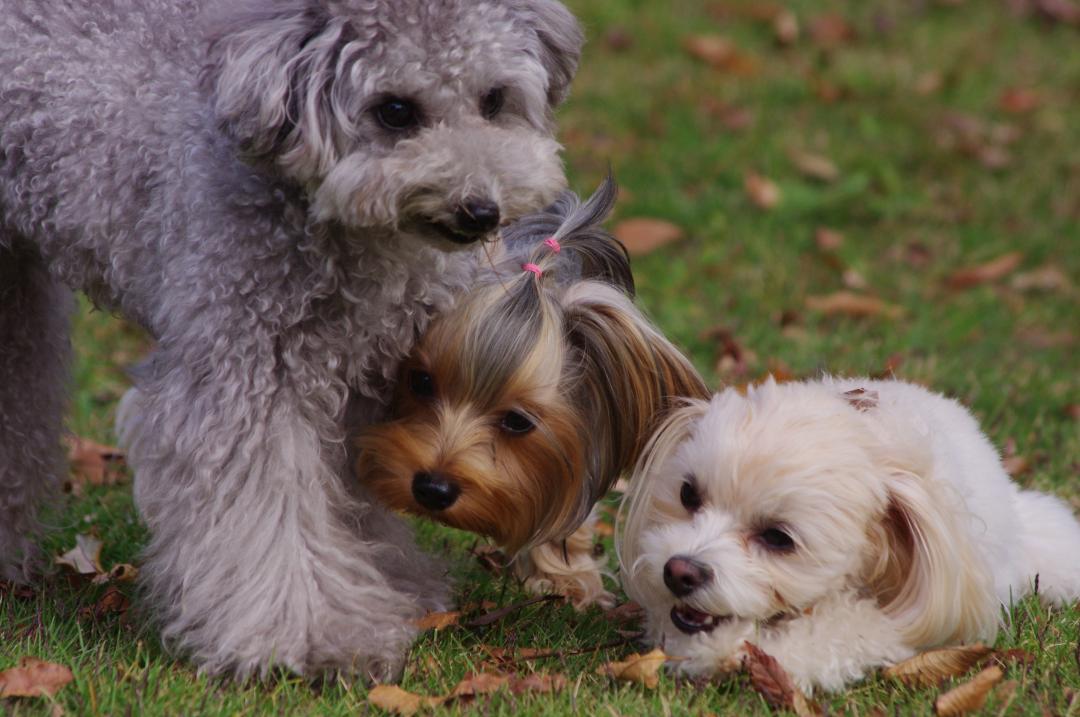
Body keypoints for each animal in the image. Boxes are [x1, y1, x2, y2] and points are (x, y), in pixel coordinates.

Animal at [0, 0, 583, 678]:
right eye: (394, 111)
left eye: (494, 99)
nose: (480, 209)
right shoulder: (244, 371)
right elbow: (269, 510)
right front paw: (309, 636)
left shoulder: (369, 378)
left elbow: (352, 500)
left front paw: (392, 587)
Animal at [617, 377, 1080, 691]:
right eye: (688, 494)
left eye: (778, 537)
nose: (679, 572)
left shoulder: (893, 617)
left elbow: (836, 635)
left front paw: (722, 649)